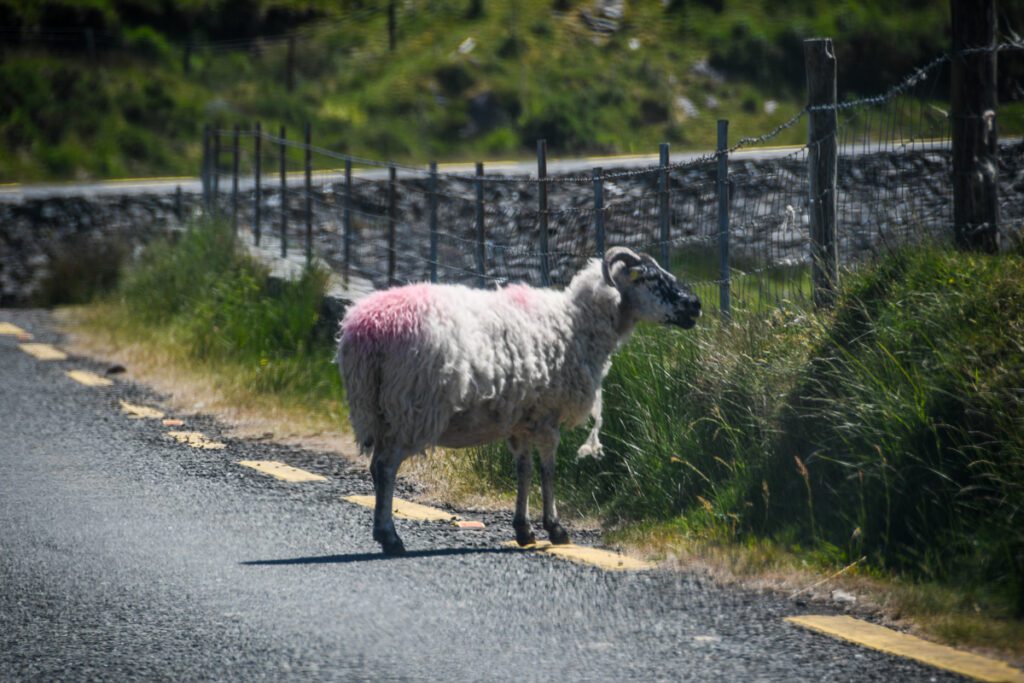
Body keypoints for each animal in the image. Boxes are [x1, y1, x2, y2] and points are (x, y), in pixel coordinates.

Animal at [339, 246, 700, 557]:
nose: (695, 304)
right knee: (386, 468)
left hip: (379, 409)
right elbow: (549, 469)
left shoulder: (521, 420)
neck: (577, 322)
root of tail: (365, 328)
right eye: (650, 278)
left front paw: (524, 530)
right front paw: (555, 529)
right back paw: (390, 537)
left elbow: (523, 470)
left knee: (376, 466)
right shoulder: (548, 416)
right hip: (412, 407)